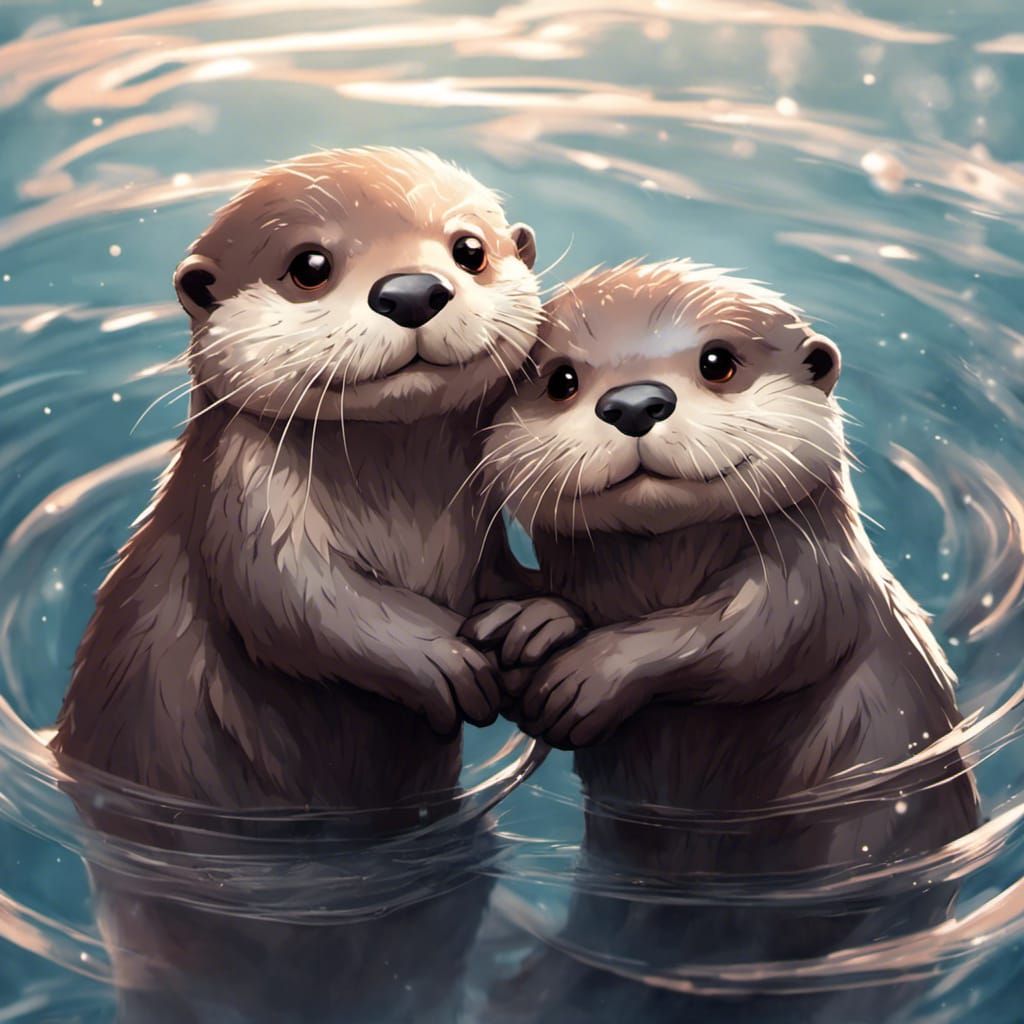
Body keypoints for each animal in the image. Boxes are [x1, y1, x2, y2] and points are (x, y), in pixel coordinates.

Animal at [51, 147, 541, 1022]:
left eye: (470, 249)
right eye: (308, 265)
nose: (411, 290)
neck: (397, 502)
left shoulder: (480, 516)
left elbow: (498, 579)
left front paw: (532, 621)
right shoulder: (246, 502)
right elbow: (301, 609)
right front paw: (442, 659)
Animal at [464, 260, 979, 1016]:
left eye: (718, 362)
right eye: (559, 379)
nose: (634, 403)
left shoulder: (813, 580)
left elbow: (744, 641)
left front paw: (590, 675)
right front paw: (534, 621)